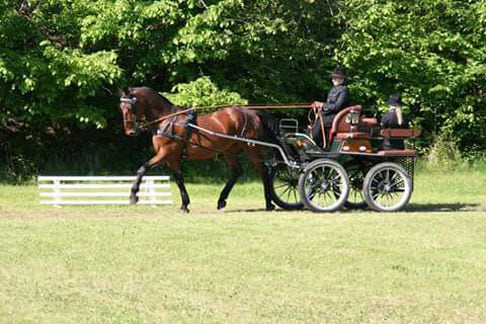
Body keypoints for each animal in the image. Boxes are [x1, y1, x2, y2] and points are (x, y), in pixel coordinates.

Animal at [119, 86, 276, 213]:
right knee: (237, 171)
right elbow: (178, 178)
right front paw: (184, 205)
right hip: (228, 151)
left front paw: (133, 196)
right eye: (121, 107)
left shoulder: (165, 153)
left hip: (251, 148)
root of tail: (252, 113)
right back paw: (221, 200)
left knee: (263, 171)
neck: (167, 120)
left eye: (130, 107)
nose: (130, 131)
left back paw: (269, 203)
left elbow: (142, 168)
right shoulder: (171, 158)